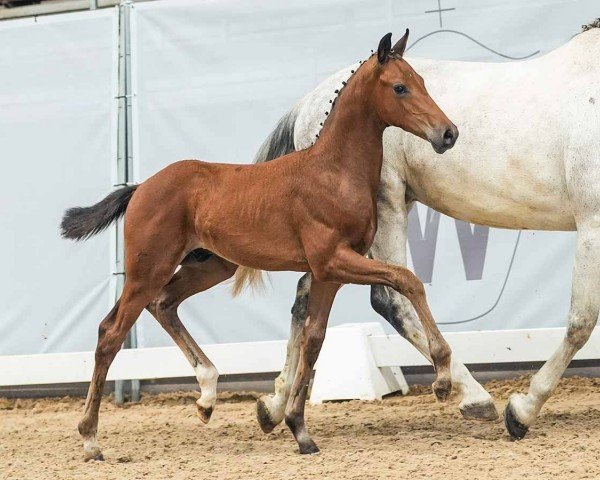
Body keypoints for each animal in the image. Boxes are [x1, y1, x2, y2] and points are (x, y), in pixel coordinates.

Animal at [61, 31, 458, 462]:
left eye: (421, 81)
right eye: (400, 87)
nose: (448, 133)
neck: (333, 171)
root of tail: (140, 187)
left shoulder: (328, 273)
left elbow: (314, 339)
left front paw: (299, 429)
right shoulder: (332, 260)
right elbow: (407, 280)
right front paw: (442, 377)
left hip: (209, 266)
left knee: (163, 304)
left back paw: (206, 396)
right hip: (147, 269)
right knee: (111, 333)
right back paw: (90, 439)